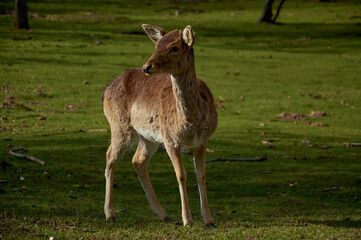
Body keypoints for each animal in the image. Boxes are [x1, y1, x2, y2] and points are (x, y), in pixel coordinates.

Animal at [102, 24, 218, 229]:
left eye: (174, 48)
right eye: (156, 46)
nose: (146, 67)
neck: (192, 122)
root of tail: (105, 89)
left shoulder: (202, 141)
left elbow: (201, 176)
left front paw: (209, 220)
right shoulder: (170, 139)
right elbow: (181, 175)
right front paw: (187, 220)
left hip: (148, 137)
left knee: (137, 160)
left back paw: (162, 214)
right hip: (120, 126)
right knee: (110, 157)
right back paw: (110, 215)